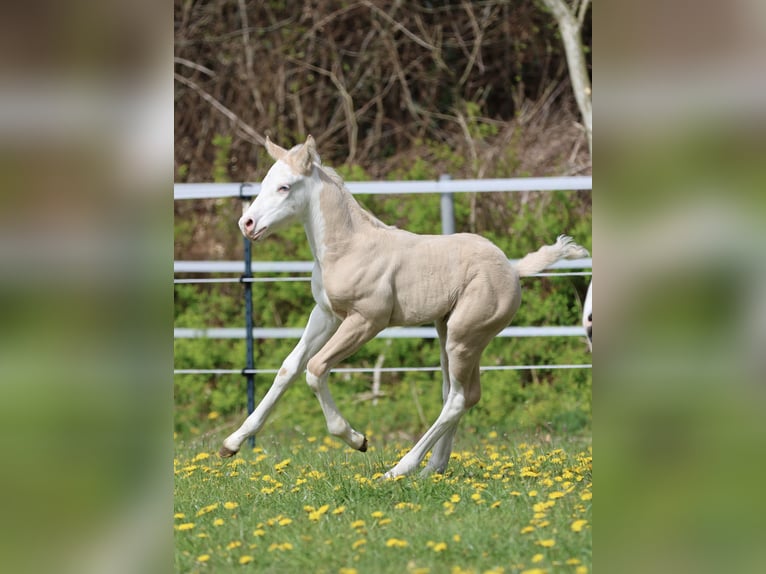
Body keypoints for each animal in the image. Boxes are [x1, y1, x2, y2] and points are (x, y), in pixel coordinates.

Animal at [220, 135, 589, 478]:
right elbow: (289, 368)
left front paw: (357, 439)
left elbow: (315, 368)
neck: (347, 247)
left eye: (285, 187)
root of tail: (513, 269)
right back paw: (432, 469)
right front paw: (232, 443)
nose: (246, 224)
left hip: (464, 336)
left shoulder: (367, 320)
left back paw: (400, 469)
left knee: (459, 398)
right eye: (265, 182)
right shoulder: (325, 314)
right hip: (448, 332)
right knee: (458, 394)